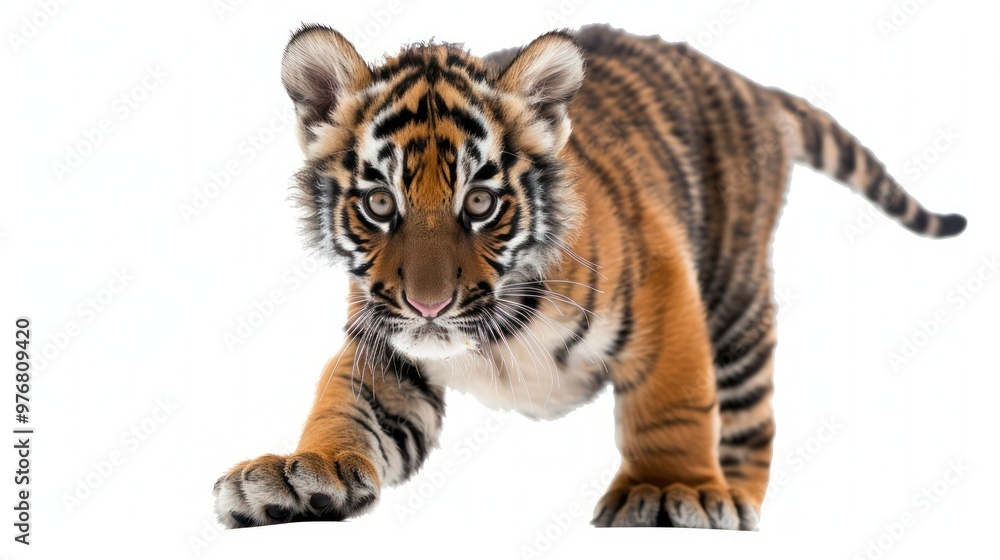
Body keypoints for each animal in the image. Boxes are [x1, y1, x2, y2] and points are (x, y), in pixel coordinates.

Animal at [213, 23, 966, 530]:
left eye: (479, 203)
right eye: (378, 203)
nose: (429, 306)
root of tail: (743, 82)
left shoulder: (666, 286)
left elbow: (672, 403)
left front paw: (670, 491)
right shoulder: (384, 344)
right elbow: (344, 406)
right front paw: (296, 474)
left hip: (737, 298)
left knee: (751, 422)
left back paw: (732, 499)